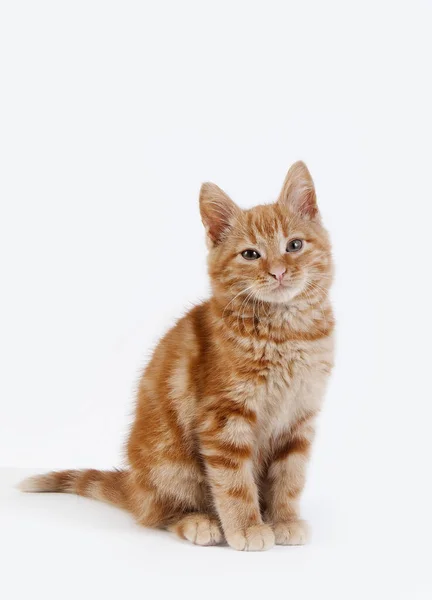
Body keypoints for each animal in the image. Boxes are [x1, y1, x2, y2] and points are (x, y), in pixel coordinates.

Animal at [19, 161, 334, 552]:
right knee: (158, 514)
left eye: (294, 245)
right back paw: (198, 522)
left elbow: (290, 476)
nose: (277, 271)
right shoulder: (223, 419)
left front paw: (284, 520)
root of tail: (135, 486)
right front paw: (248, 527)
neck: (286, 331)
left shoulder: (300, 417)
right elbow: (234, 482)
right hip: (172, 462)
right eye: (250, 254)